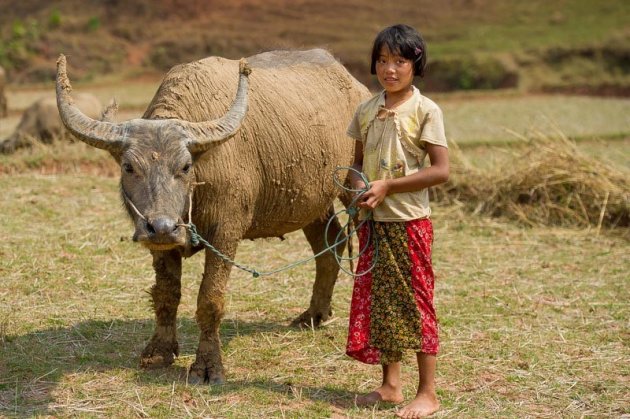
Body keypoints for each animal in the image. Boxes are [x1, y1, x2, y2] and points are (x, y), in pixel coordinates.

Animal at [55, 49, 370, 384]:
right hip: (311, 200)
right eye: (129, 167)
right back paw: (314, 315)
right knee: (331, 242)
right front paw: (159, 352)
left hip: (352, 181)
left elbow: (210, 298)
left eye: (185, 166)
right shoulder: (160, 244)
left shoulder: (226, 232)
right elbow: (166, 293)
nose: (163, 227)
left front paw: (207, 365)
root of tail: (356, 86)